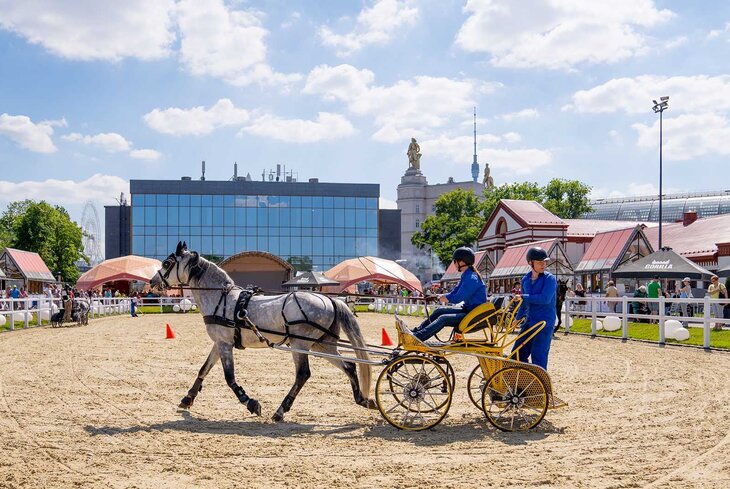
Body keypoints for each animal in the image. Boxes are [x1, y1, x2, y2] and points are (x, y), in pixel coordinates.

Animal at [149, 242, 376, 422]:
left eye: (167, 263)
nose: (152, 282)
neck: (221, 299)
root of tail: (331, 300)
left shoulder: (225, 345)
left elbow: (229, 378)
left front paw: (250, 402)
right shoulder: (219, 343)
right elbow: (203, 369)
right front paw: (187, 398)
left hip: (300, 344)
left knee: (303, 374)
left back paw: (281, 410)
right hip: (322, 345)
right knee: (349, 366)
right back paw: (362, 399)